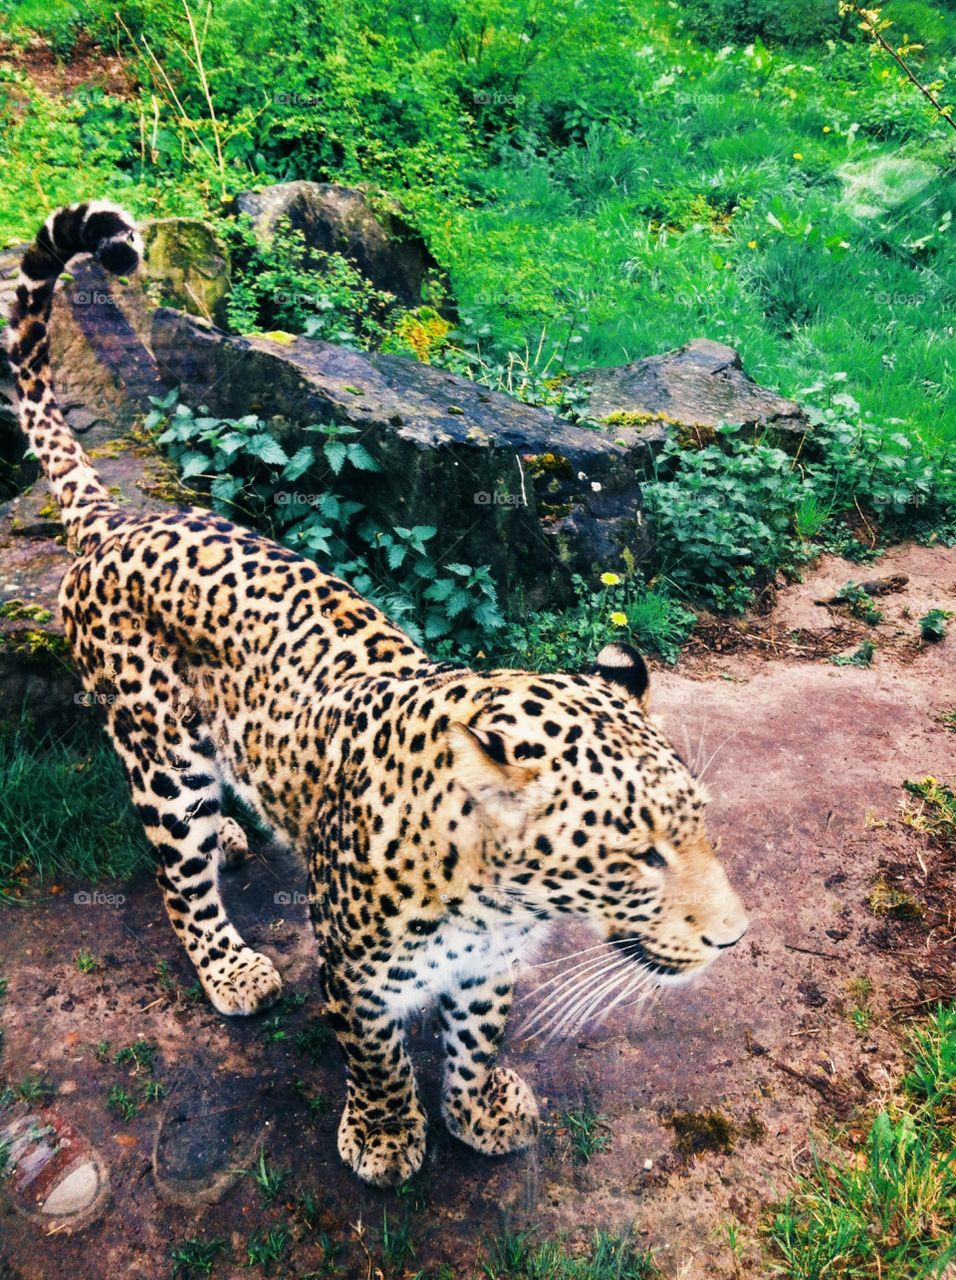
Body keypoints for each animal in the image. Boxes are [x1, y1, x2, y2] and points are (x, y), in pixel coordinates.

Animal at [7, 202, 748, 1187]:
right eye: (638, 858)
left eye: (699, 831)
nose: (734, 941)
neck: (498, 896)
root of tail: (117, 519)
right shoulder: (358, 973)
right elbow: (378, 1054)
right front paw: (388, 1137)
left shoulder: (489, 963)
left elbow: (477, 1038)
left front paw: (479, 1111)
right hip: (157, 754)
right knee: (178, 877)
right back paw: (230, 964)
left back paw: (233, 830)